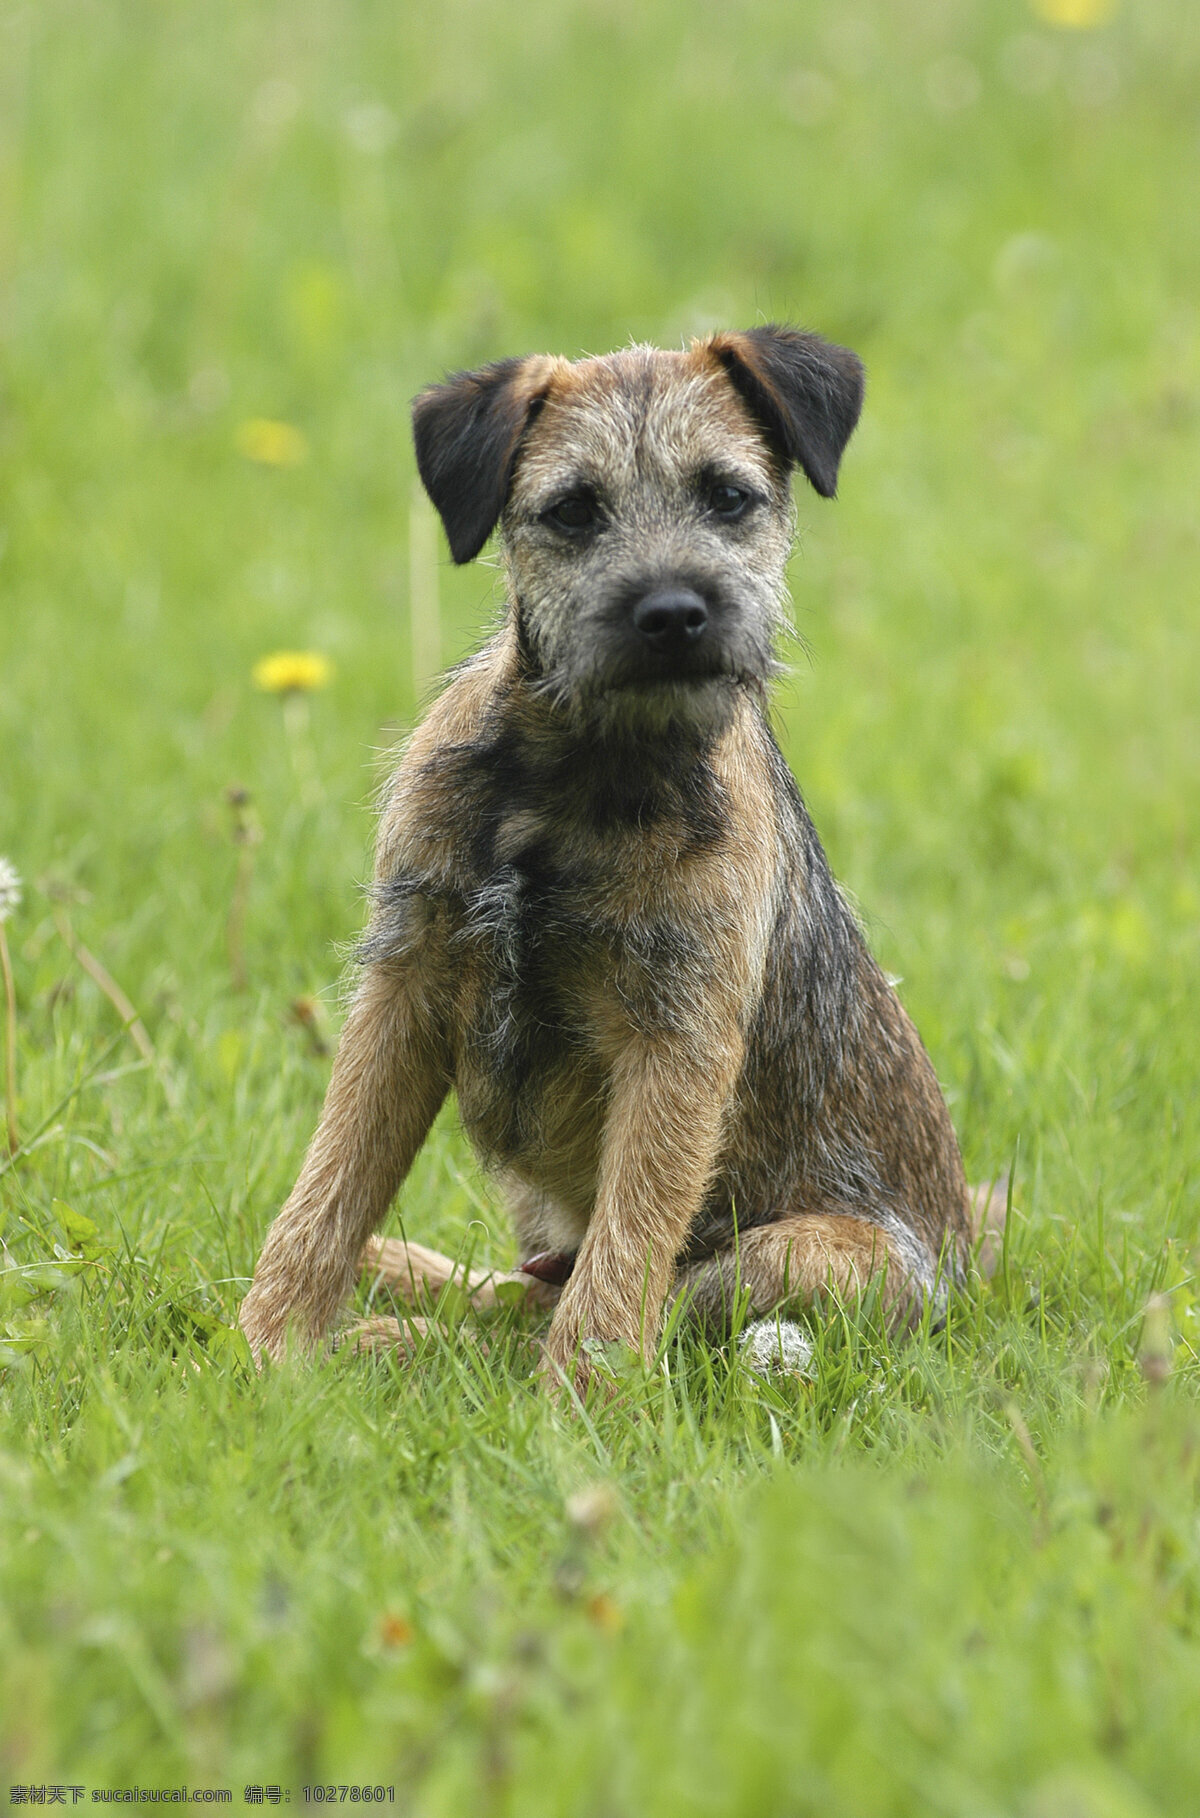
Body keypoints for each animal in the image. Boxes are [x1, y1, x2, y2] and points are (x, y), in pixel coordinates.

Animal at [241, 327, 974, 1381]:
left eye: (728, 497)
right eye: (575, 510)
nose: (672, 613)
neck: (579, 776)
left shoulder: (675, 1042)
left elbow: (628, 1251)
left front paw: (578, 1402)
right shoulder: (403, 986)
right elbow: (329, 1186)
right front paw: (265, 1352)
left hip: (811, 1256)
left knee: (633, 1300)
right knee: (520, 1290)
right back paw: (400, 1299)